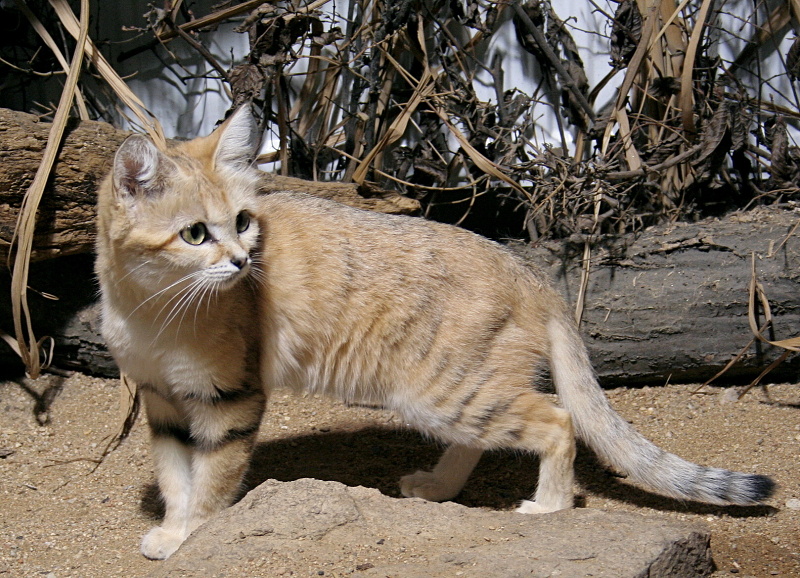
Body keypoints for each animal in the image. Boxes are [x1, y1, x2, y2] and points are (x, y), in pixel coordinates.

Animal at [95, 107, 776, 560]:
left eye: (242, 221)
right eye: (194, 234)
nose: (242, 262)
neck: (151, 308)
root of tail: (532, 274)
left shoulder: (230, 401)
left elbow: (211, 483)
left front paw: (191, 538)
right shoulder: (161, 401)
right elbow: (174, 477)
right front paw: (173, 528)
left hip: (441, 391)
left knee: (557, 421)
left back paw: (549, 507)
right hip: (454, 394)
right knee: (487, 437)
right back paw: (440, 487)